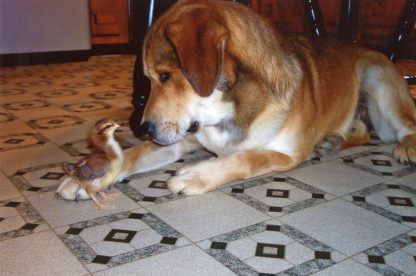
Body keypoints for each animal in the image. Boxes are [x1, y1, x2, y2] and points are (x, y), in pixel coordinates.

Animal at [117, 0, 416, 195]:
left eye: (165, 76)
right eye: (149, 79)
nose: (145, 129)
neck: (226, 112)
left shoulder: (288, 155)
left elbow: (245, 158)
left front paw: (196, 174)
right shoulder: (182, 138)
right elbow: (134, 153)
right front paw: (107, 166)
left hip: (376, 79)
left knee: (406, 127)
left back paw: (406, 148)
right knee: (363, 132)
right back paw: (331, 141)